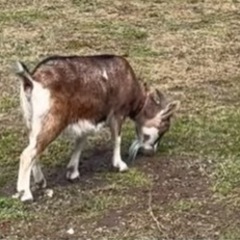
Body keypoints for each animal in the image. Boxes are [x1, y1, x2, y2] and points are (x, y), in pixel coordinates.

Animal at [12, 54, 178, 201]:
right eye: (164, 127)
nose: (150, 151)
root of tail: (31, 80)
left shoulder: (85, 119)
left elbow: (80, 142)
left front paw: (73, 172)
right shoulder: (117, 114)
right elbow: (116, 139)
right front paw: (120, 165)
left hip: (32, 121)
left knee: (34, 149)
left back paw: (40, 182)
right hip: (51, 120)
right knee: (28, 154)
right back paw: (25, 194)